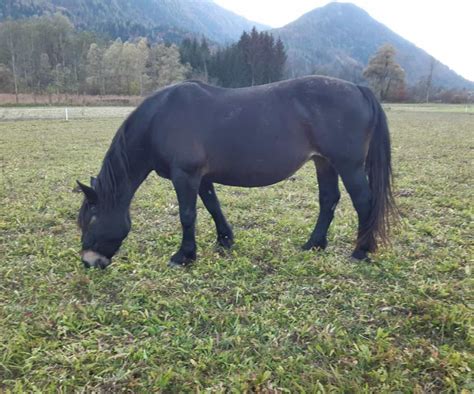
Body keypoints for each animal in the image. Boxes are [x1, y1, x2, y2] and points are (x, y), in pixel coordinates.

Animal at [78, 75, 396, 270]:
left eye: (91, 220)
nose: (88, 262)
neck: (160, 119)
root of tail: (358, 88)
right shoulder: (201, 178)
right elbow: (213, 206)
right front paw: (225, 241)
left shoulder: (186, 176)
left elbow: (187, 215)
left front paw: (184, 256)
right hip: (324, 162)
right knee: (328, 200)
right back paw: (313, 245)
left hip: (348, 165)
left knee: (364, 202)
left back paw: (361, 251)